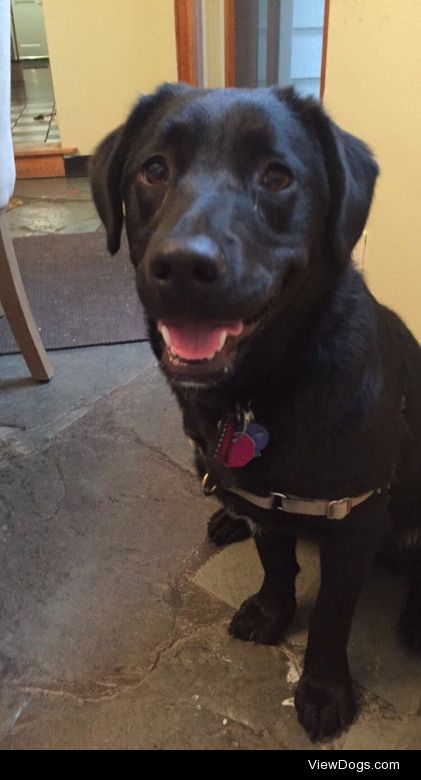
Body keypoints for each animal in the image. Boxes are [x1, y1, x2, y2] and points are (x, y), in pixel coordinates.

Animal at [91, 84, 420, 736]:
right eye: (154, 169)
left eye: (276, 176)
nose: (184, 266)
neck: (259, 394)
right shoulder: (264, 499)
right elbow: (275, 561)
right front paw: (272, 612)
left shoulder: (354, 521)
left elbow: (331, 619)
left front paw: (322, 690)